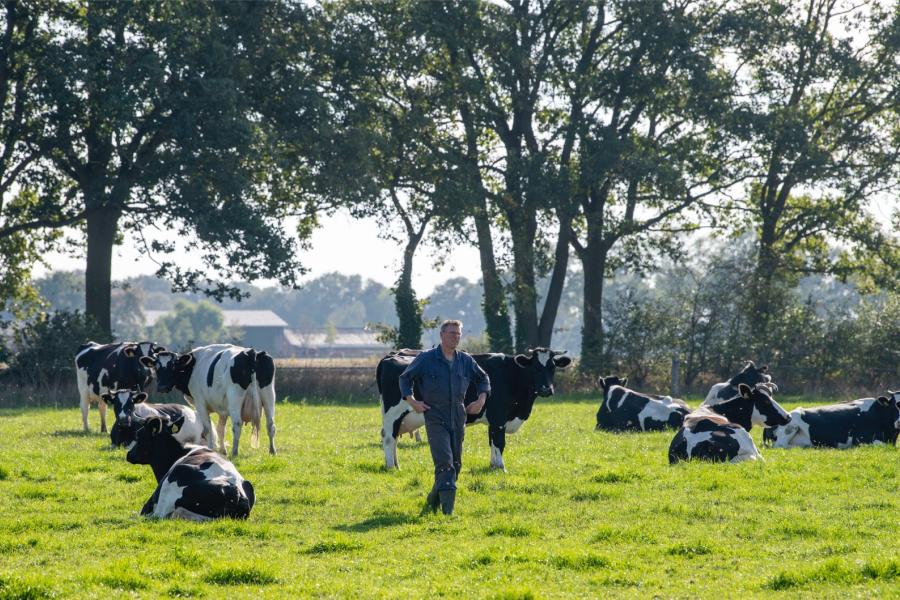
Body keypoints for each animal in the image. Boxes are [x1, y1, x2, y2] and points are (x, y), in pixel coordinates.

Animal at [376, 350, 572, 472]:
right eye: (535, 368)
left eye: (552, 367)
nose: (546, 389)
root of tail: (390, 356)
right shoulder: (499, 417)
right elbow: (499, 442)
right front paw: (502, 467)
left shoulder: (494, 420)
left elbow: (492, 442)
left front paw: (493, 466)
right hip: (393, 413)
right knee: (388, 438)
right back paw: (391, 467)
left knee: (393, 438)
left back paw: (396, 464)